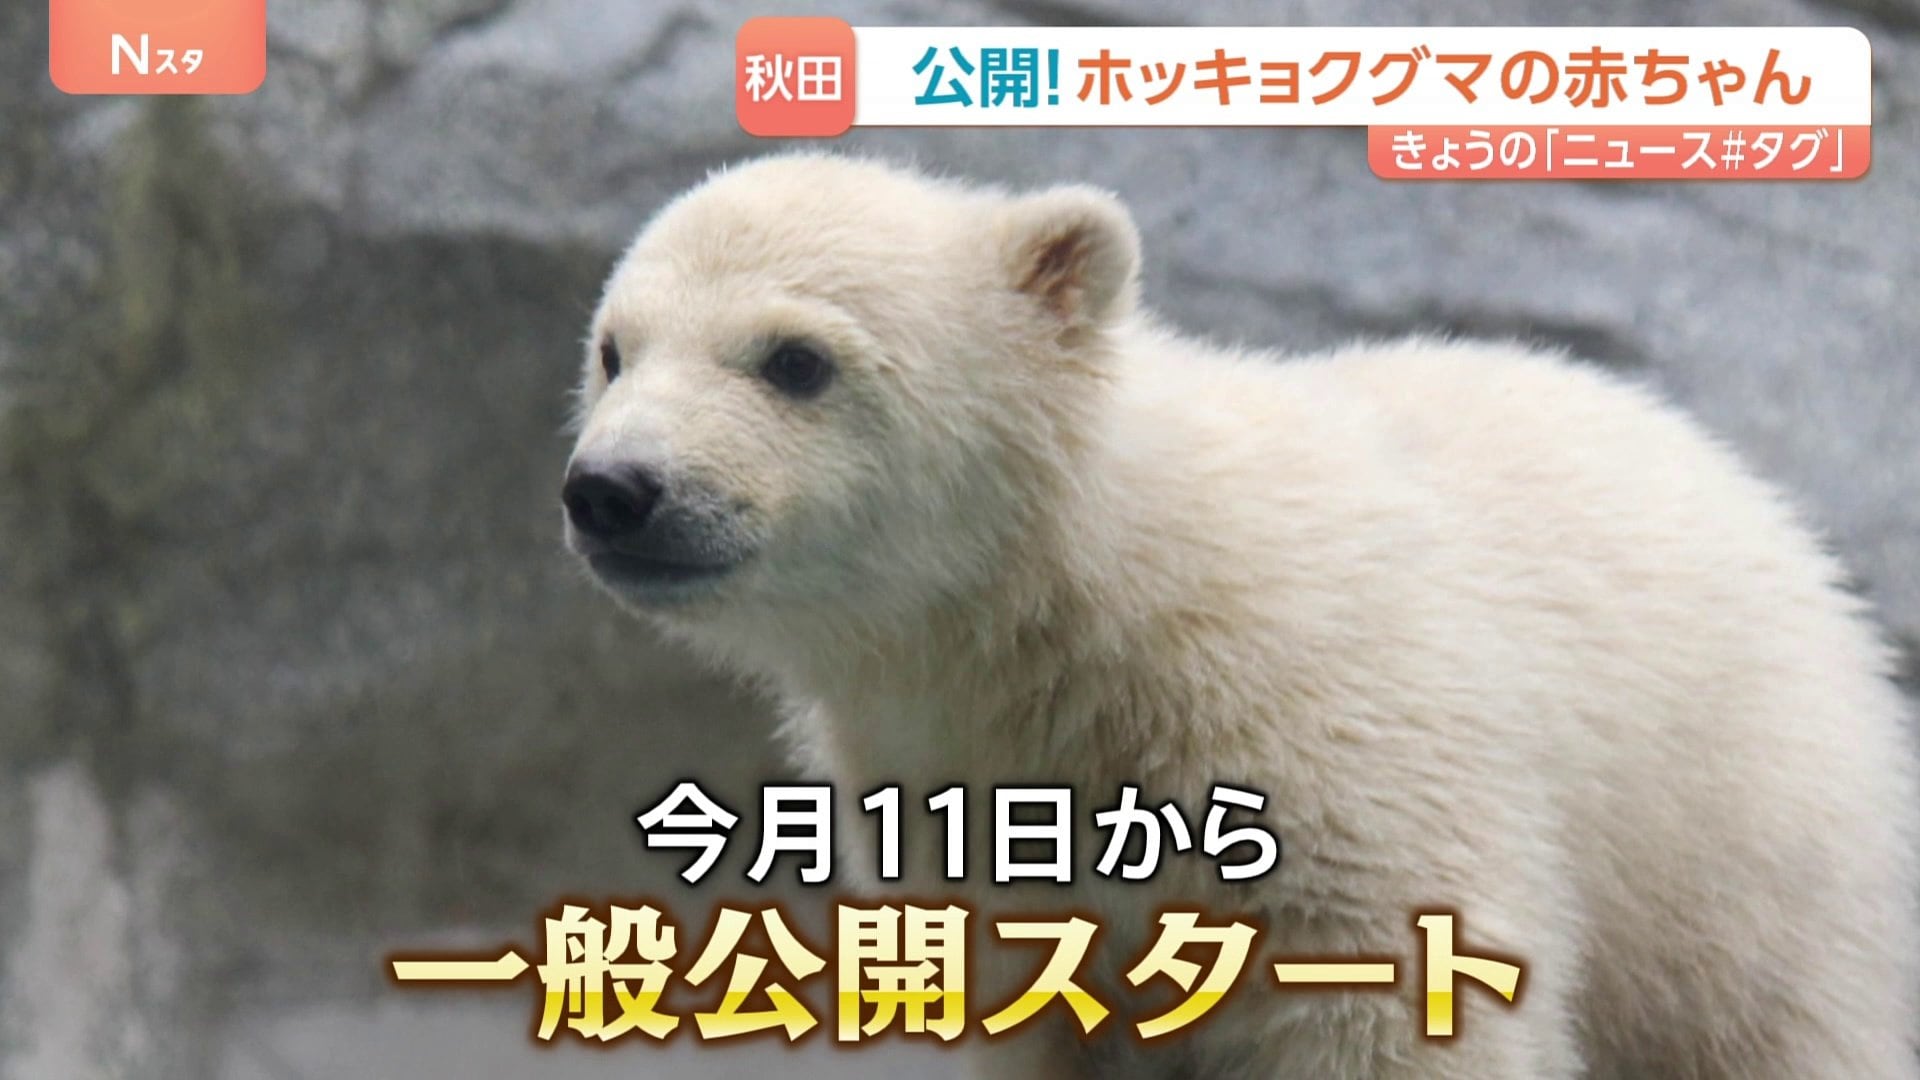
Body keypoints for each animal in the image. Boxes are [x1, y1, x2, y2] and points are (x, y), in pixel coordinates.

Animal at [559, 153, 1919, 1079]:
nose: (613, 489)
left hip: (1740, 829)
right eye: (616, 350)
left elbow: (1399, 998)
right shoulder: (972, 809)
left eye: (795, 359)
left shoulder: (1327, 733)